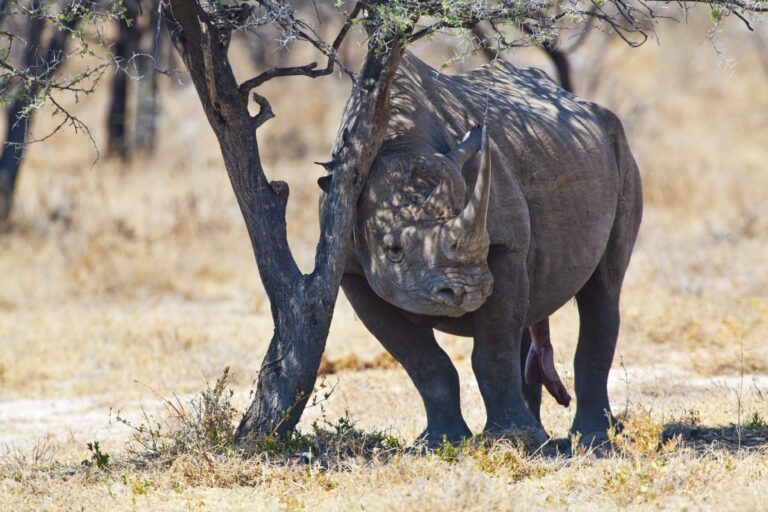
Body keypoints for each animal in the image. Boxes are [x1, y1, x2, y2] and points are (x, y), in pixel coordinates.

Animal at [318, 54, 640, 446]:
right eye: (393, 250)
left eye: (483, 238)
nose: (464, 291)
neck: (399, 145)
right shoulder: (351, 269)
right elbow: (422, 361)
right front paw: (441, 441)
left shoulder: (504, 247)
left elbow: (492, 350)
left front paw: (512, 439)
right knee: (532, 313)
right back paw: (543, 431)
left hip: (620, 152)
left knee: (603, 289)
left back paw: (592, 437)